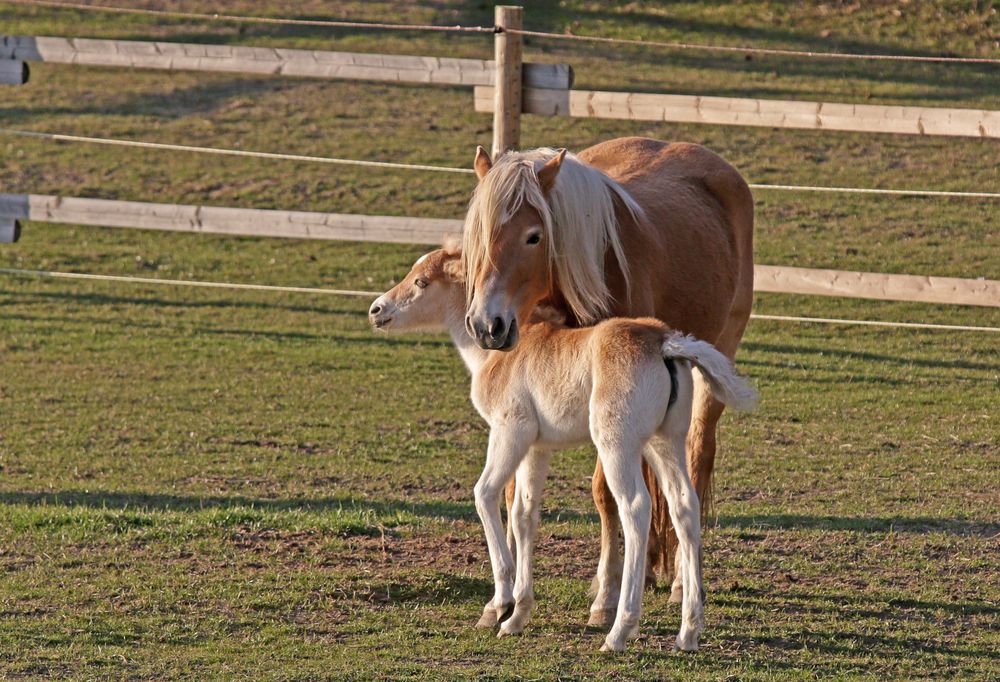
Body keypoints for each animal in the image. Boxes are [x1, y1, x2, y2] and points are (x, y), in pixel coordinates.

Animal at [372, 248, 752, 648]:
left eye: (421, 281)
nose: (377, 310)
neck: (498, 354)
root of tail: (663, 341)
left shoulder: (509, 431)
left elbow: (485, 494)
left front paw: (499, 605)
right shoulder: (536, 448)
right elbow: (524, 514)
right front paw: (517, 614)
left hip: (617, 444)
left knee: (635, 507)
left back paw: (618, 629)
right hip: (665, 441)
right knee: (684, 505)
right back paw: (688, 631)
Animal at [460, 135, 752, 624]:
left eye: (533, 236)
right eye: (477, 235)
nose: (486, 326)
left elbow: (605, 494)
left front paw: (608, 594)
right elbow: (520, 496)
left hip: (716, 362)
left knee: (694, 462)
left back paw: (677, 581)